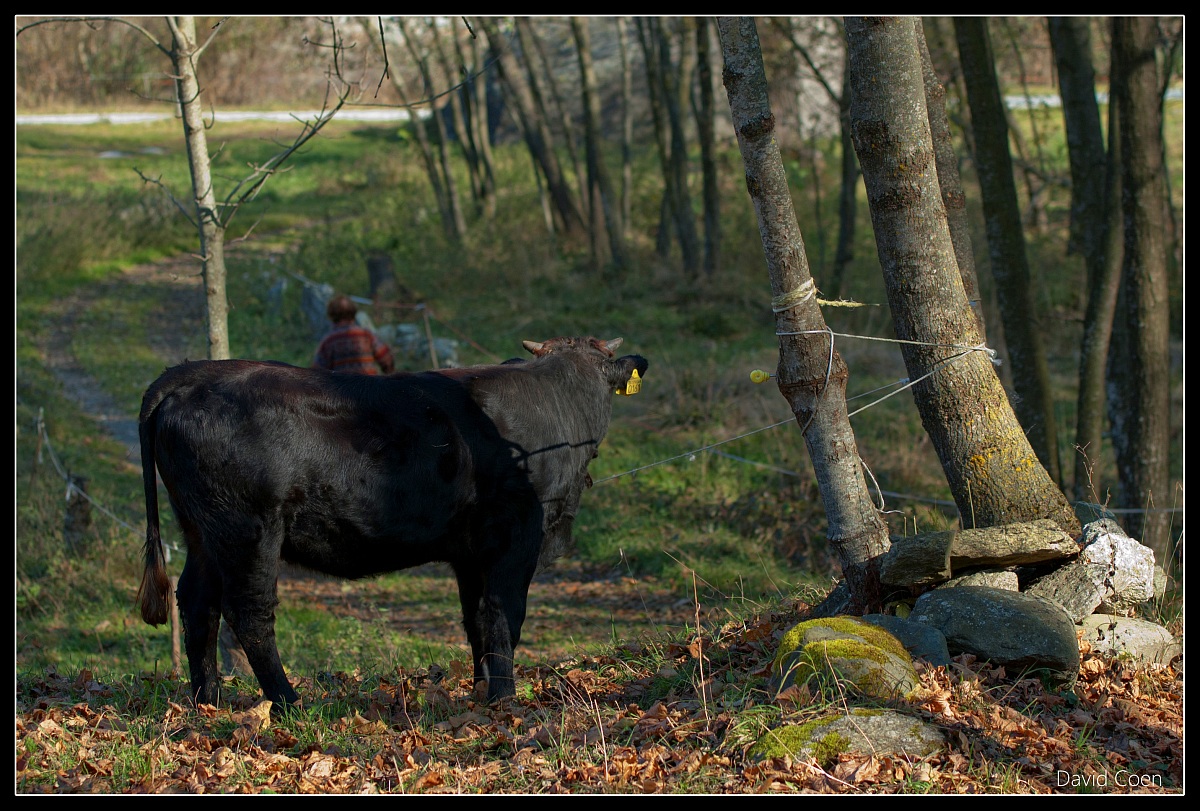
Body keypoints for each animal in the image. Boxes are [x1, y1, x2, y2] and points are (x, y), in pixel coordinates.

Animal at [137, 336, 648, 710]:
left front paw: (480, 690)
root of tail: (193, 373)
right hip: (248, 530)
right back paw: (289, 702)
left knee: (197, 601)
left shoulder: (471, 552)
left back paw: (208, 701)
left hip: (203, 531)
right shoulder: (516, 536)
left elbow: (476, 619)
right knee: (250, 613)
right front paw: (504, 698)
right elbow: (505, 613)